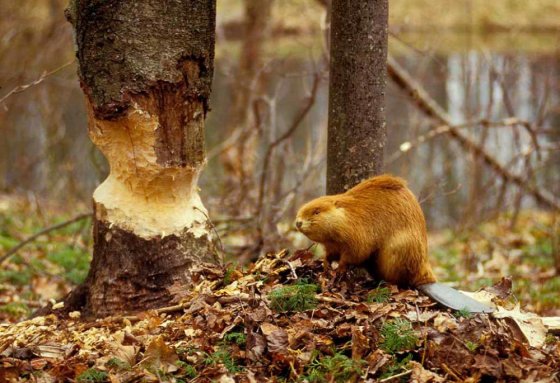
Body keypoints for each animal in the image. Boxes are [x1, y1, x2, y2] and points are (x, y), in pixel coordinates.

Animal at [296, 176, 436, 286]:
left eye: (317, 211)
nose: (298, 222)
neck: (349, 214)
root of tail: (427, 276)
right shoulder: (332, 244)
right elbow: (330, 254)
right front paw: (326, 265)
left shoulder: (358, 234)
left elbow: (356, 253)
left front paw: (340, 269)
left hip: (401, 247)